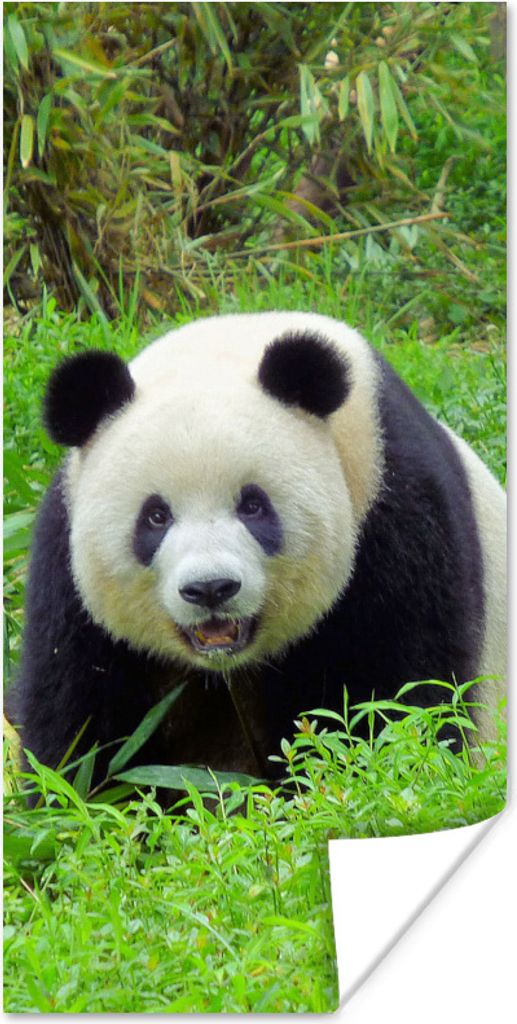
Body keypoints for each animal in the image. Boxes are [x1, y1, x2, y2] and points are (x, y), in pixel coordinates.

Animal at [12, 311, 506, 787]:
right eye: (155, 516)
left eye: (253, 505)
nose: (211, 589)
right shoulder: (67, 566)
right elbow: (80, 720)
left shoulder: (395, 513)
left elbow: (400, 694)